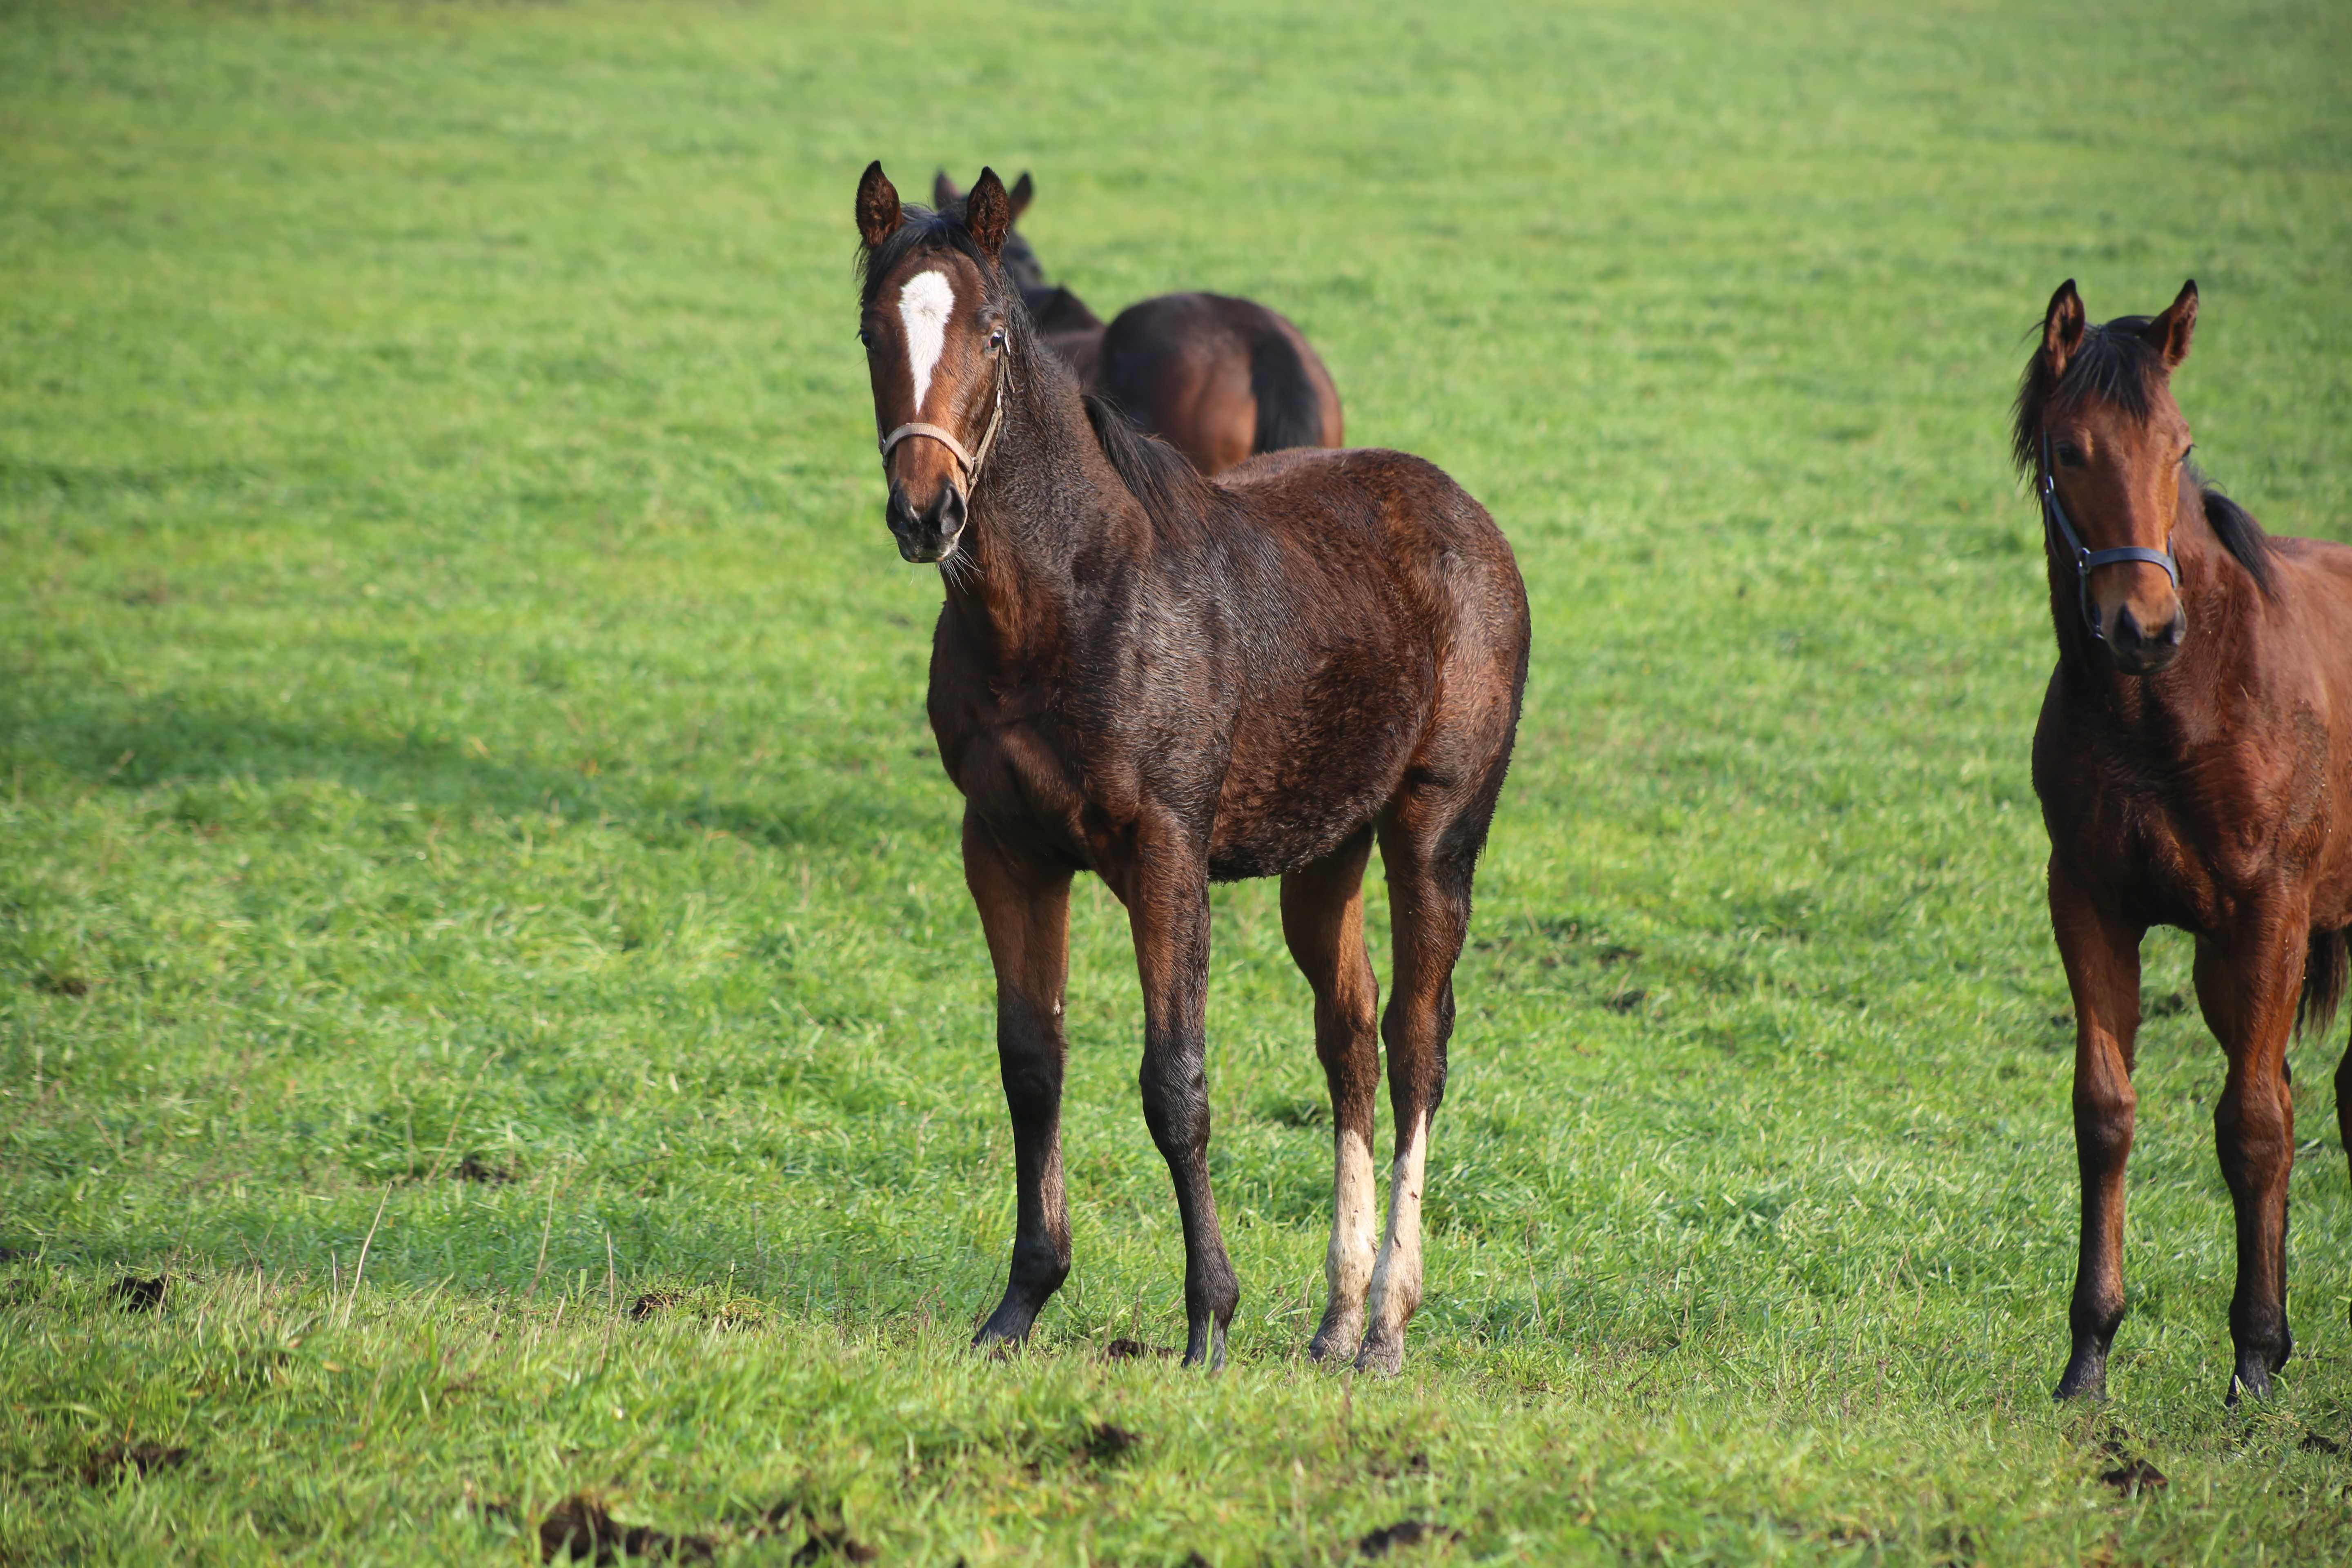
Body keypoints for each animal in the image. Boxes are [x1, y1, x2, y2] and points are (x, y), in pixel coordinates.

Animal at [2013, 282, 2352, 1410]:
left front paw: (2249, 1361)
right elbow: (2106, 1110)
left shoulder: (2272, 912)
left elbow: (2249, 1127)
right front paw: (2088, 1352)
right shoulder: (2089, 899)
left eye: (2181, 445)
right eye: (2069, 450)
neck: (2174, 706)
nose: (2143, 626)